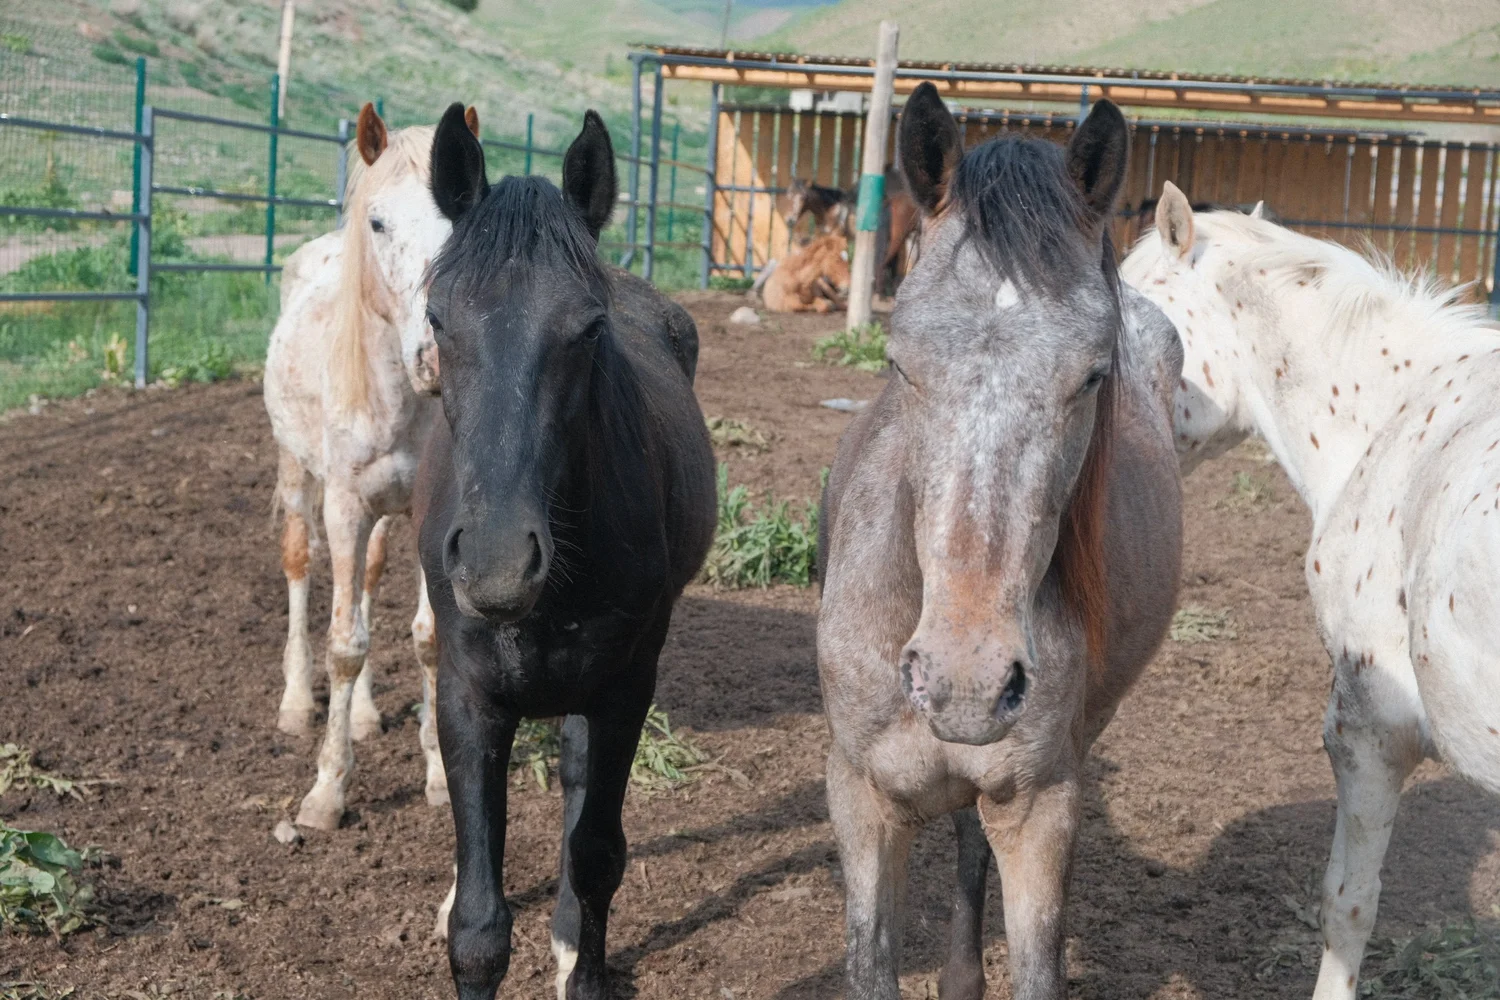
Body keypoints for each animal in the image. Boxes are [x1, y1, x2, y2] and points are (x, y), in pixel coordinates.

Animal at [263, 102, 479, 832]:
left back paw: (360, 715)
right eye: (379, 222)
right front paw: (328, 791)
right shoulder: (345, 506)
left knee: (365, 584)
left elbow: (429, 638)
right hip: (298, 475)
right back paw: (297, 704)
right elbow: (344, 645)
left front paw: (439, 772)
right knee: (302, 566)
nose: (437, 356)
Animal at [415, 103, 715, 1000]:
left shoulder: (622, 690)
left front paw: (584, 968)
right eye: (437, 318)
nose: (496, 564)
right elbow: (478, 927)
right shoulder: (468, 696)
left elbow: (597, 857)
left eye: (588, 328)